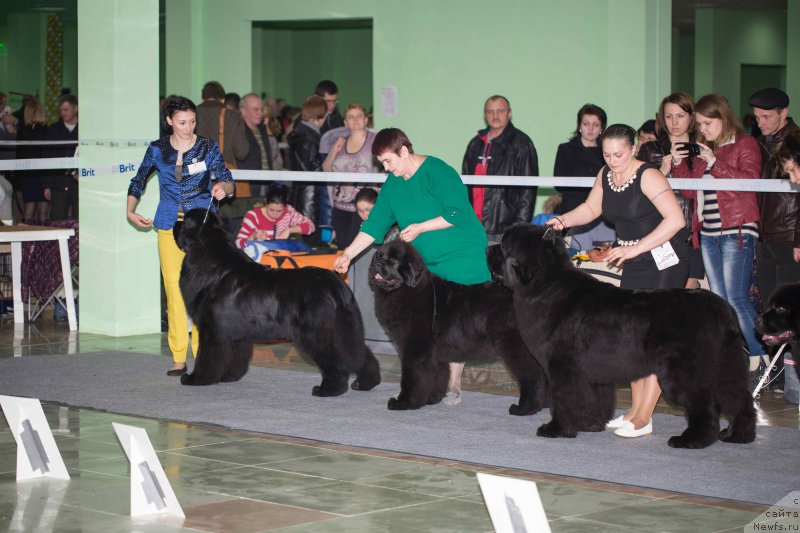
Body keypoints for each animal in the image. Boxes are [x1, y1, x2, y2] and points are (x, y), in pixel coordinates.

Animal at [171, 208, 382, 394]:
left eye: (185, 220)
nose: (174, 223)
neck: (210, 258)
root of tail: (335, 282)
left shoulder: (212, 329)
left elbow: (205, 357)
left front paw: (196, 379)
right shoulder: (236, 332)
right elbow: (236, 356)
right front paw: (229, 376)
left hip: (315, 332)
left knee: (335, 360)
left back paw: (328, 390)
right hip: (345, 329)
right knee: (358, 352)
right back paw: (365, 383)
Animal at [494, 222, 756, 446]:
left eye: (504, 247)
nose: (489, 247)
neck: (545, 284)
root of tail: (723, 309)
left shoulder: (562, 366)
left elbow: (564, 398)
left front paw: (556, 429)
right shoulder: (590, 372)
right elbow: (592, 398)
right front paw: (590, 424)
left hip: (684, 372)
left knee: (704, 405)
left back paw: (691, 440)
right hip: (727, 366)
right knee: (738, 398)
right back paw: (737, 435)